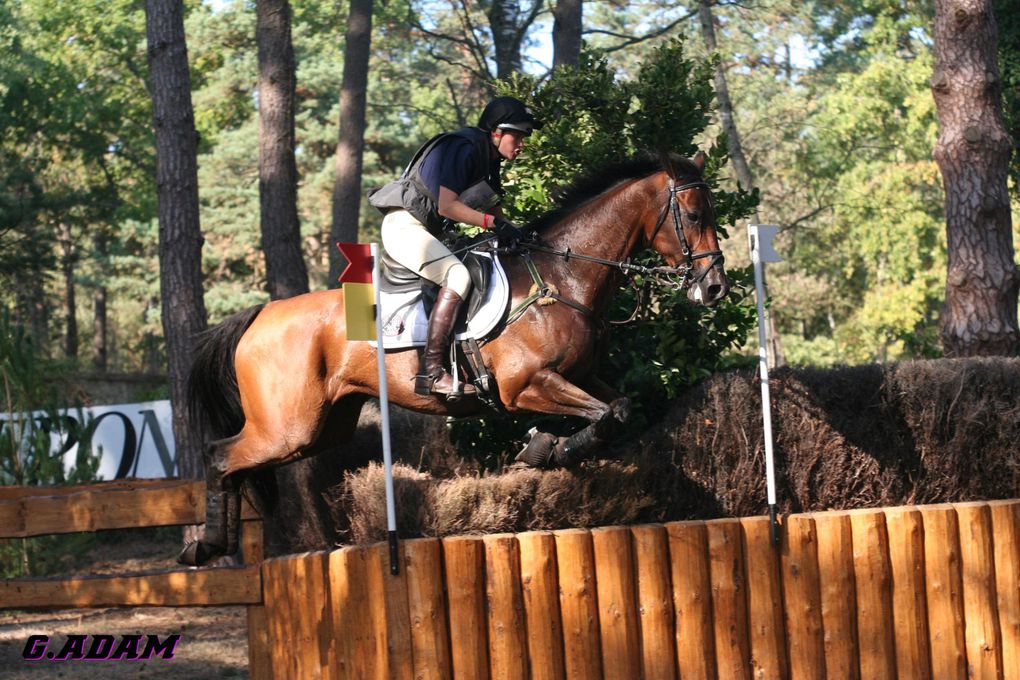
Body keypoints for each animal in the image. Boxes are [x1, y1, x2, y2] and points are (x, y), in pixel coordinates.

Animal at [179, 151, 730, 566]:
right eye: (695, 215)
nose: (715, 288)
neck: (563, 278)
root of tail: (259, 315)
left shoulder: (583, 376)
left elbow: (619, 408)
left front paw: (548, 447)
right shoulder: (526, 386)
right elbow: (601, 416)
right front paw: (548, 448)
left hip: (321, 429)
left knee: (237, 463)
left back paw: (216, 544)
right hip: (287, 428)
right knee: (220, 455)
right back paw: (205, 545)